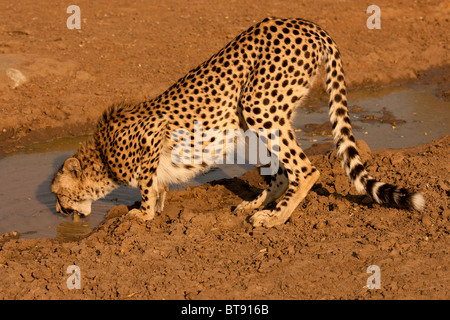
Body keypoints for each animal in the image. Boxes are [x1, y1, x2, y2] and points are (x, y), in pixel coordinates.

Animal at [52, 16, 426, 228]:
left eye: (58, 193)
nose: (58, 211)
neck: (101, 154)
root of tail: (307, 23)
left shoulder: (152, 137)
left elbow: (146, 185)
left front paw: (142, 214)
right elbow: (157, 186)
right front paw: (154, 208)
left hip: (258, 105)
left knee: (305, 170)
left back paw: (274, 218)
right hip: (256, 119)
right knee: (281, 173)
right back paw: (258, 204)